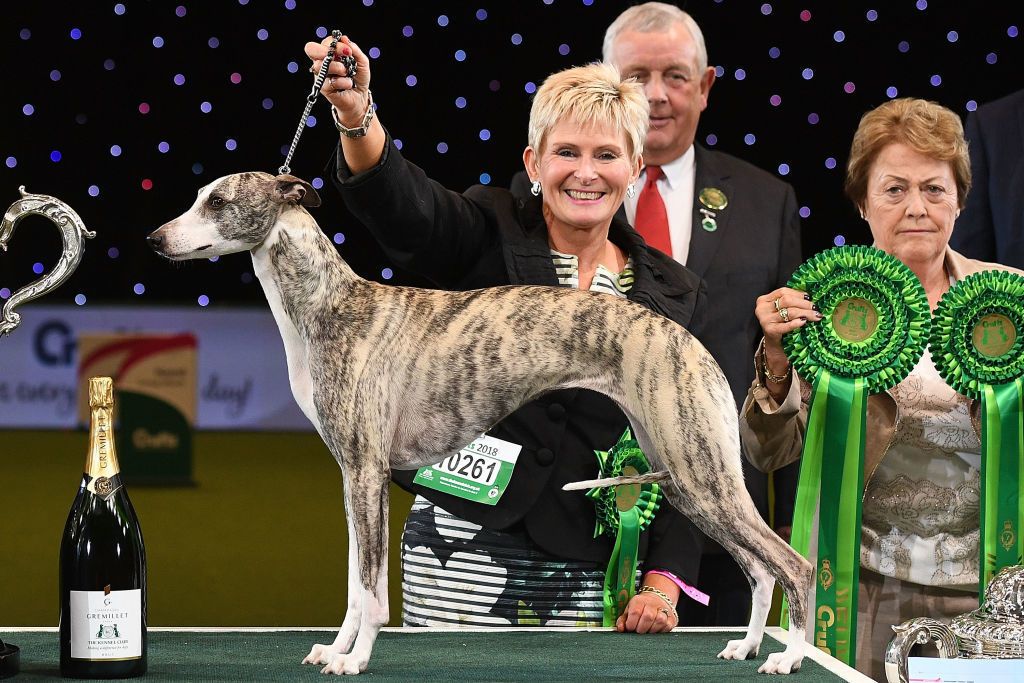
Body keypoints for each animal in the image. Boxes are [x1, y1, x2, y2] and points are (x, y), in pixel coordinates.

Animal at [146, 174, 815, 675]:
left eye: (218, 201)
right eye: (199, 196)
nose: (154, 239)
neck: (329, 306)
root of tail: (696, 346)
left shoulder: (364, 471)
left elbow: (370, 589)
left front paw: (355, 659)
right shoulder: (352, 476)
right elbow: (355, 583)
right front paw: (333, 650)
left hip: (696, 469)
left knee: (793, 564)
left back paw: (789, 657)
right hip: (684, 474)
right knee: (760, 569)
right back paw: (746, 646)